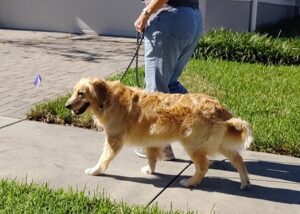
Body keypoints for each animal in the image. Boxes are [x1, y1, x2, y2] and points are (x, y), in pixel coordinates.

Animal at [65, 78, 253, 189]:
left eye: (81, 93)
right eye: (74, 92)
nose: (67, 105)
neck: (107, 98)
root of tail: (218, 106)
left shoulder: (113, 139)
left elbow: (104, 158)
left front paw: (95, 170)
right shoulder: (151, 139)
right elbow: (151, 157)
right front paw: (150, 170)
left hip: (193, 144)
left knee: (203, 167)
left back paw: (189, 182)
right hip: (219, 143)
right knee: (238, 159)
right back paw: (245, 182)